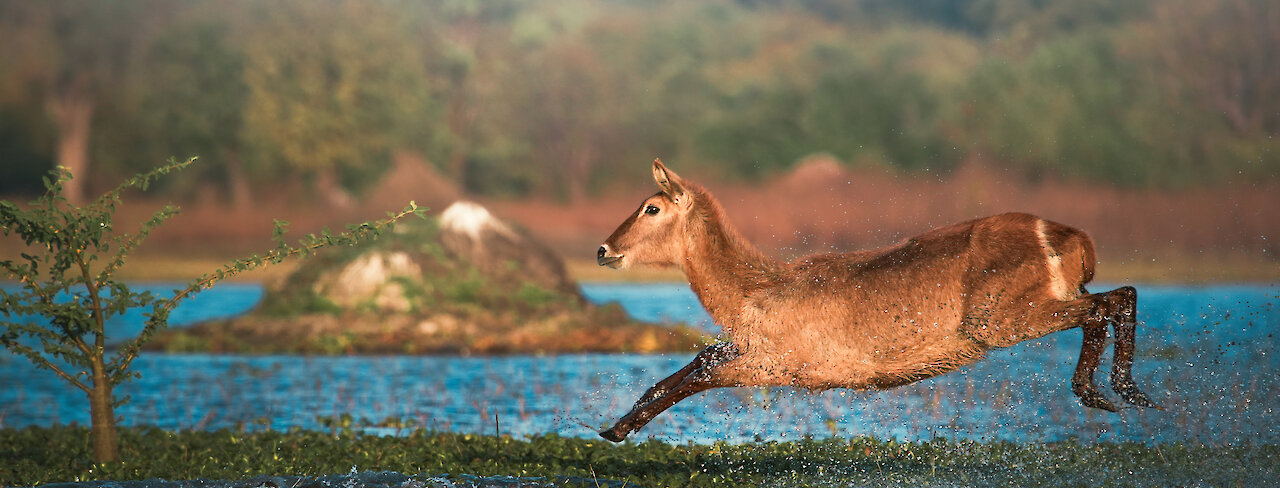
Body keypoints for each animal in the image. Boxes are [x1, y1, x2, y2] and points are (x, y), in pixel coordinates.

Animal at [593, 159, 1167, 440]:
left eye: (650, 207)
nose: (603, 249)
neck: (756, 290)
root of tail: (1070, 235)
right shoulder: (750, 350)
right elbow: (687, 367)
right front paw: (613, 424)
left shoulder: (776, 364)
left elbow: (695, 375)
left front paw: (617, 429)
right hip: (1042, 306)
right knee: (1113, 300)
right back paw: (1113, 394)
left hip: (1005, 320)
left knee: (1113, 301)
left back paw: (1116, 391)